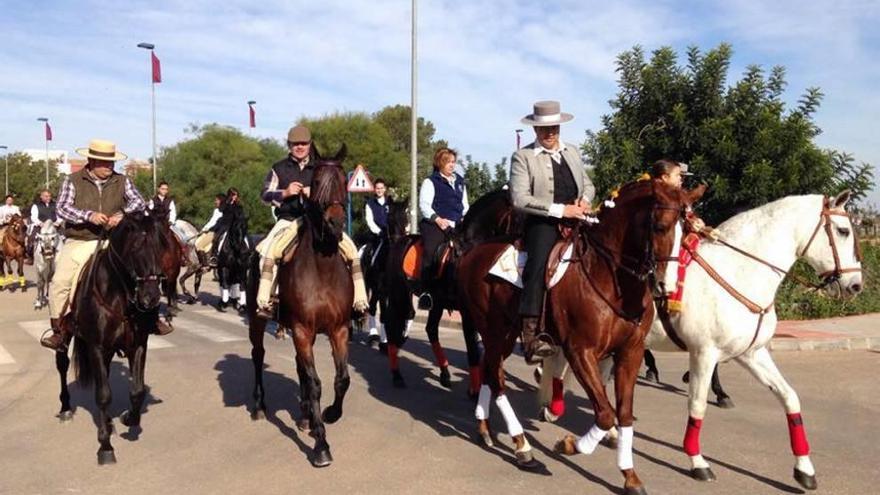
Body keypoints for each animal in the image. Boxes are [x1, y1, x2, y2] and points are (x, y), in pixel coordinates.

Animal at [57, 213, 172, 464]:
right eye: (136, 247)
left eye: (161, 246)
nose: (151, 297)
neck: (119, 294)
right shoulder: (97, 347)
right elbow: (103, 395)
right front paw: (105, 446)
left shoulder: (137, 345)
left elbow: (137, 390)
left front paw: (129, 418)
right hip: (64, 337)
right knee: (62, 365)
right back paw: (66, 408)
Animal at [246, 144, 352, 468]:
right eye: (315, 182)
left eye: (343, 181)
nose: (335, 224)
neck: (322, 266)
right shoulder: (303, 329)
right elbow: (316, 382)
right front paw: (321, 446)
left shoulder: (338, 329)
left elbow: (341, 379)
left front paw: (329, 414)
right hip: (258, 321)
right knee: (258, 355)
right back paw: (259, 405)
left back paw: (306, 416)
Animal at [458, 181, 704, 495]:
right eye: (660, 227)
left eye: (688, 232)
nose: (667, 286)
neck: (611, 276)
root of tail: (473, 253)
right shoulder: (580, 352)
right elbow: (606, 414)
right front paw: (570, 444)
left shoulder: (631, 353)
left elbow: (624, 413)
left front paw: (630, 476)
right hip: (493, 331)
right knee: (497, 379)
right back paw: (523, 448)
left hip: (505, 334)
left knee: (491, 373)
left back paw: (486, 429)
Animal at [536, 192, 860, 490]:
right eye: (843, 230)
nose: (856, 285)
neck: (739, 271)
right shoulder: (704, 353)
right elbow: (697, 405)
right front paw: (697, 461)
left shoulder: (752, 353)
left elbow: (789, 397)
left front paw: (804, 469)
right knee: (562, 367)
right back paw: (554, 405)